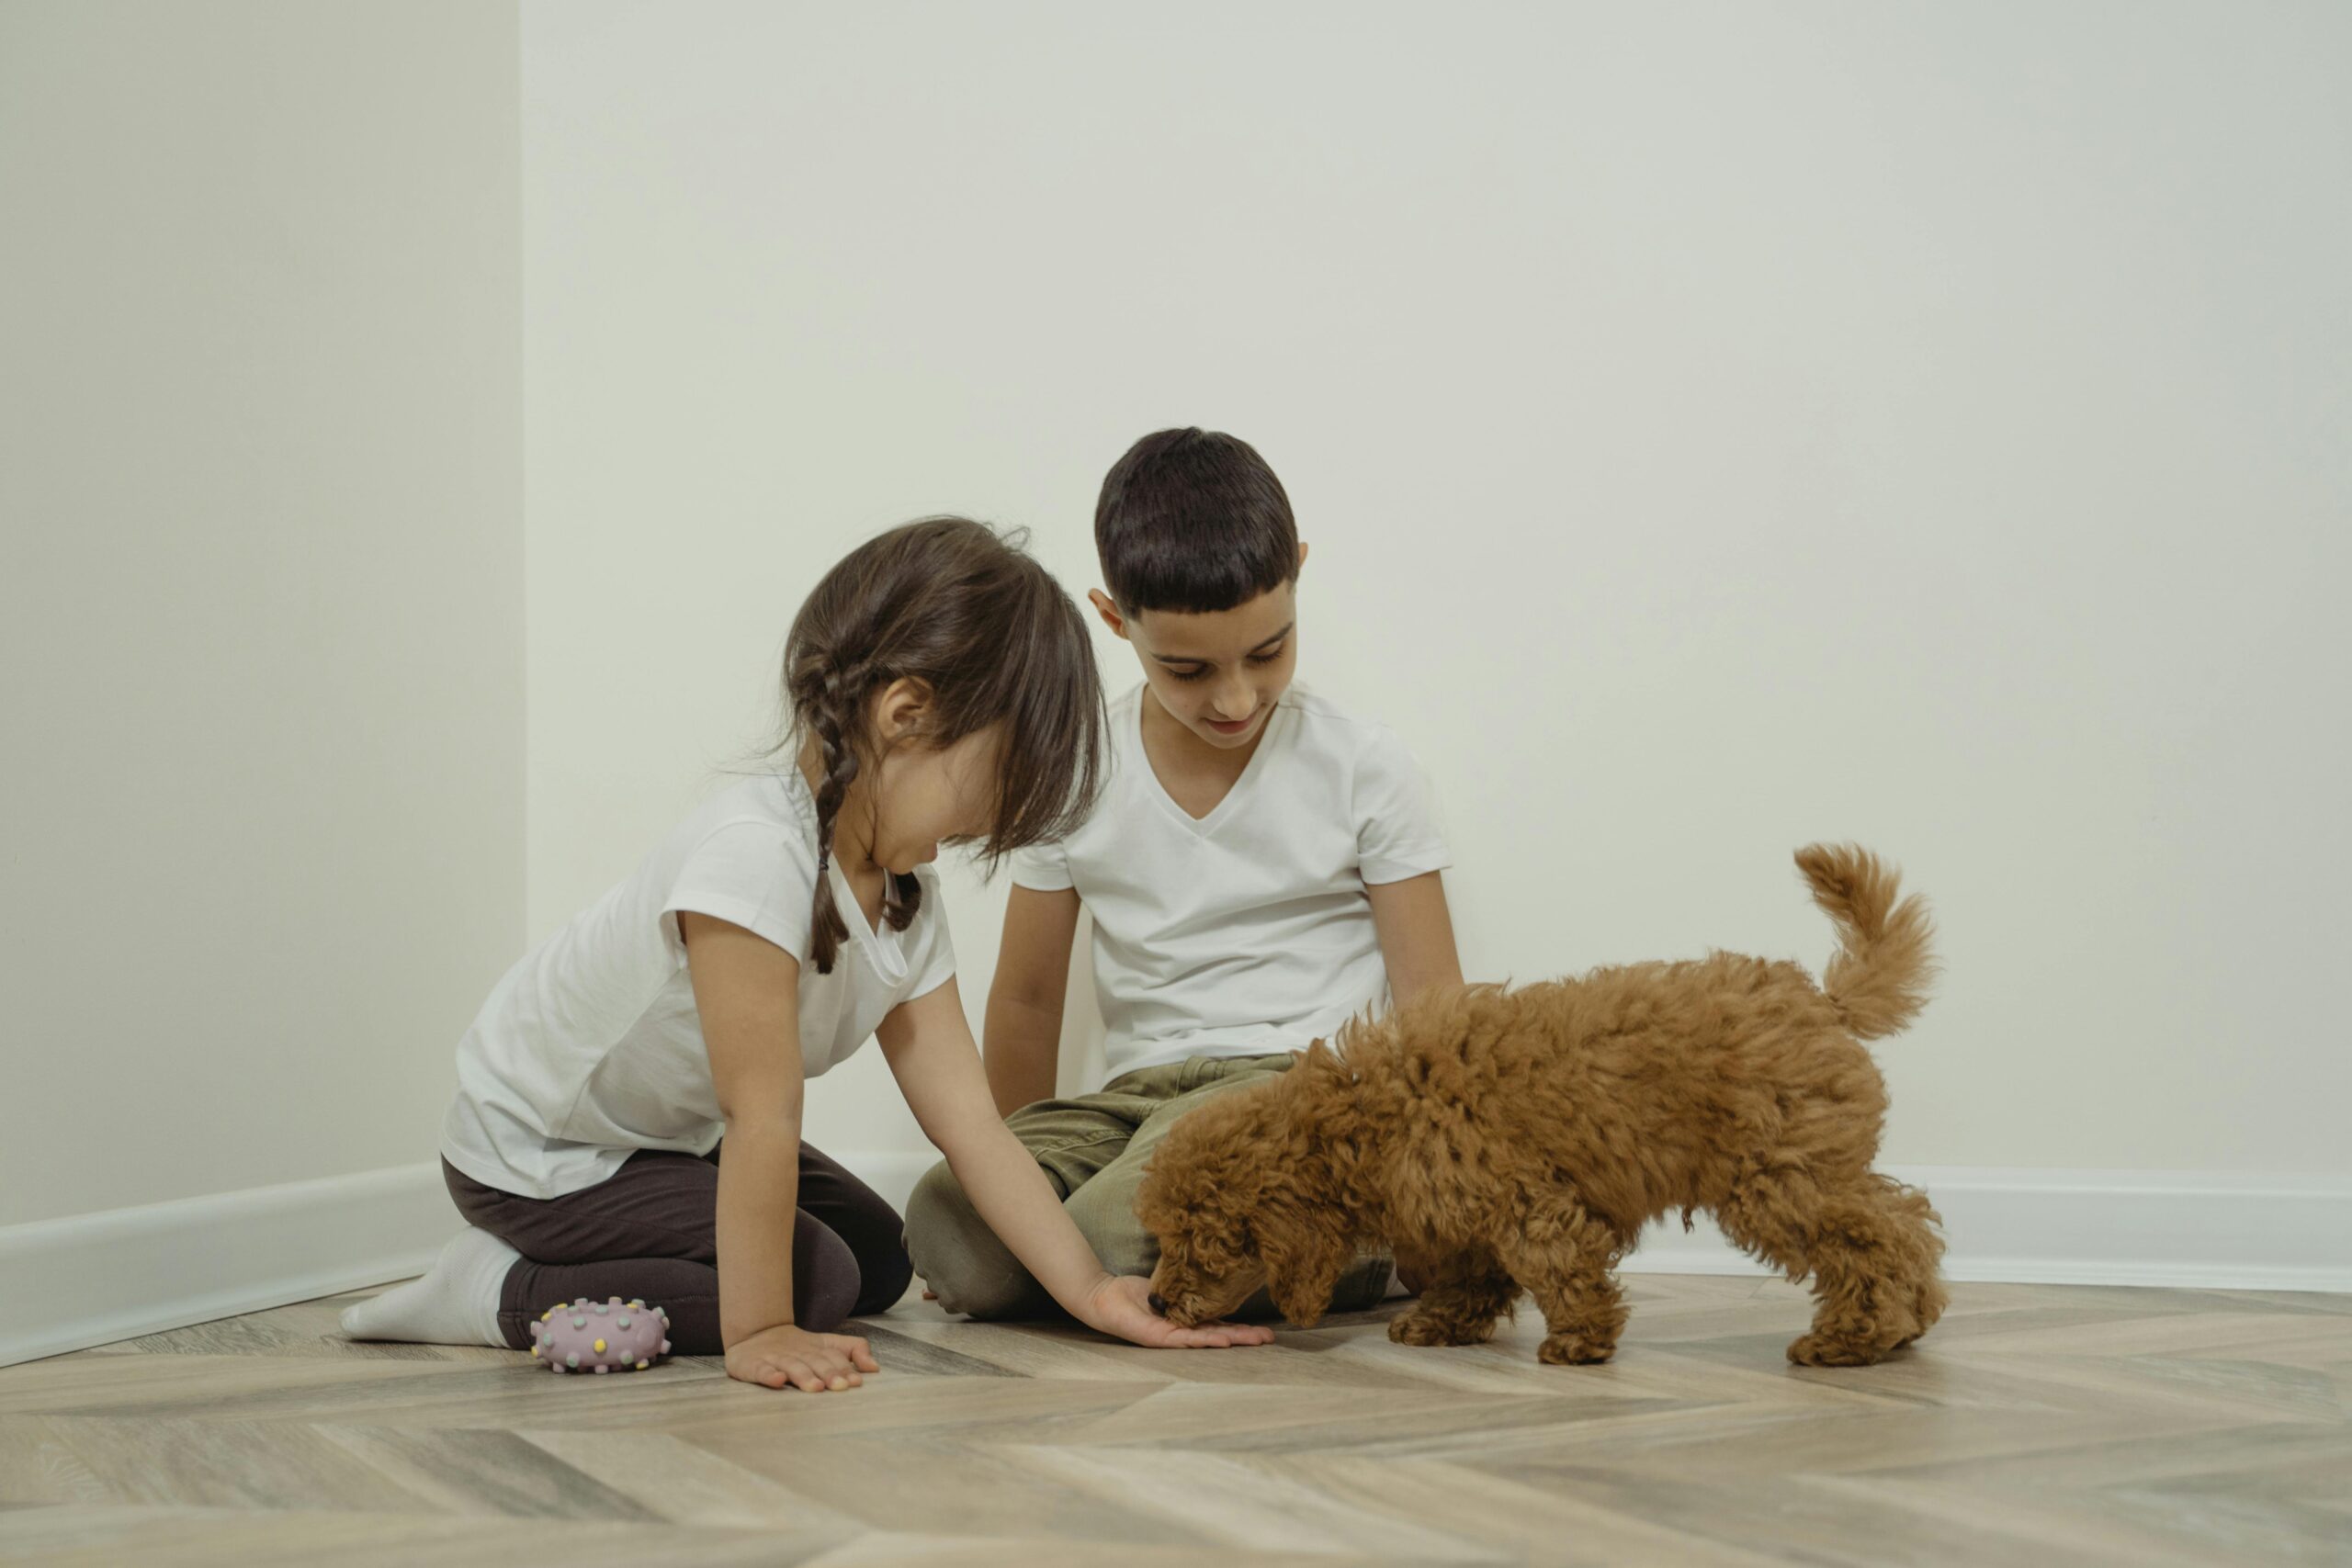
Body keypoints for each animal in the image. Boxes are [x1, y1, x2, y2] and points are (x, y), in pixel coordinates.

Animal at [1138, 841, 1947, 1363]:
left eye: (1201, 1241)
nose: (1154, 1302)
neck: (1362, 1119)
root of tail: (1824, 1002)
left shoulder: (1521, 1196)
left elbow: (1556, 1261)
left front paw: (1580, 1338)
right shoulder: (1465, 1217)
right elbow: (1474, 1273)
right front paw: (1441, 1324)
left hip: (1777, 1177)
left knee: (1875, 1236)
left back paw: (1855, 1335)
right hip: (1807, 1167)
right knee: (1903, 1218)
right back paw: (1911, 1319)